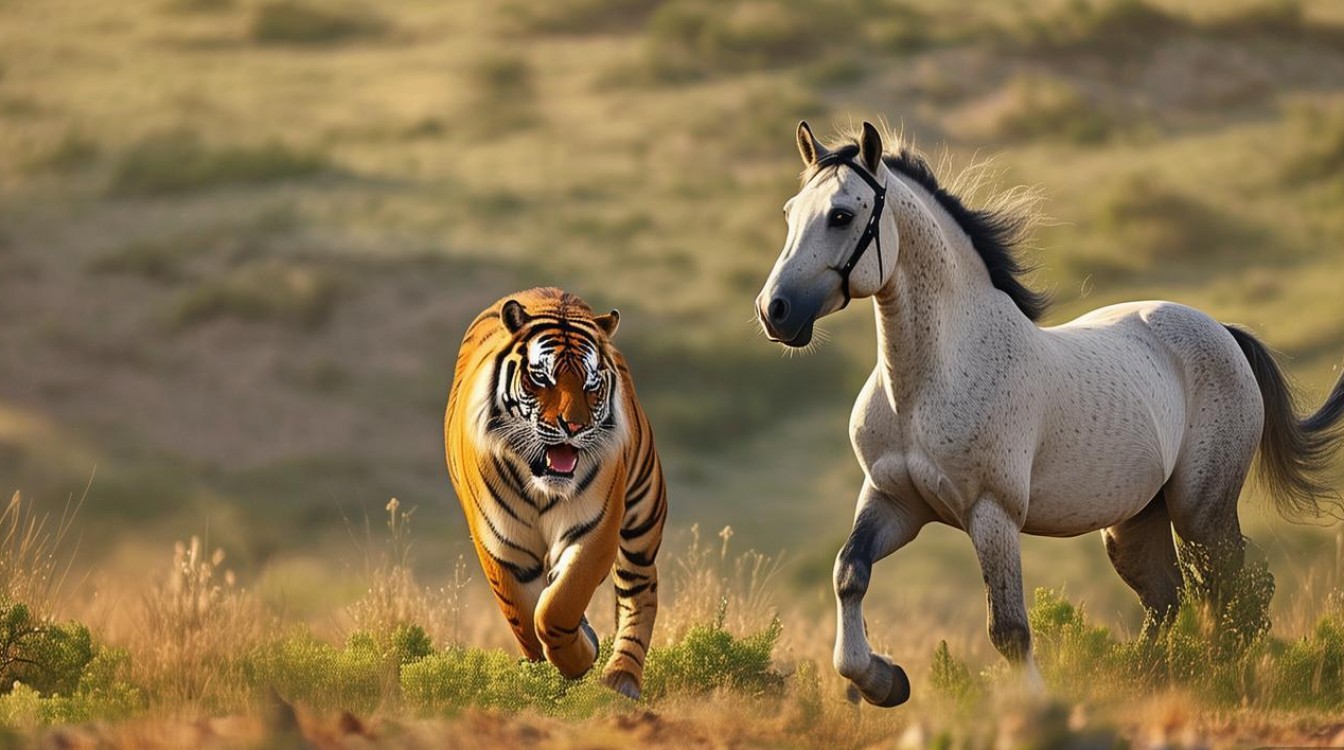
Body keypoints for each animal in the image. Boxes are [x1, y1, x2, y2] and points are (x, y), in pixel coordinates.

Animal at [444, 287, 667, 699]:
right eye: (540, 377)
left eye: (592, 384)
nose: (574, 427)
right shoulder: (502, 547)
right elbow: (524, 617)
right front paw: (556, 666)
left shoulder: (595, 531)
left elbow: (557, 607)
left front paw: (579, 658)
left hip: (643, 514)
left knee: (640, 590)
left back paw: (622, 677)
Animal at [755, 120, 1344, 707]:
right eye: (789, 212)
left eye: (841, 215)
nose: (774, 311)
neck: (924, 386)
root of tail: (1224, 331)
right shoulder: (893, 501)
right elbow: (849, 574)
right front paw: (885, 681)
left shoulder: (991, 514)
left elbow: (1009, 628)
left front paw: (1033, 707)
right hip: (1134, 521)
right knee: (1168, 600)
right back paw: (1145, 680)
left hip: (1202, 510)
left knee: (1231, 593)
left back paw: (1218, 679)